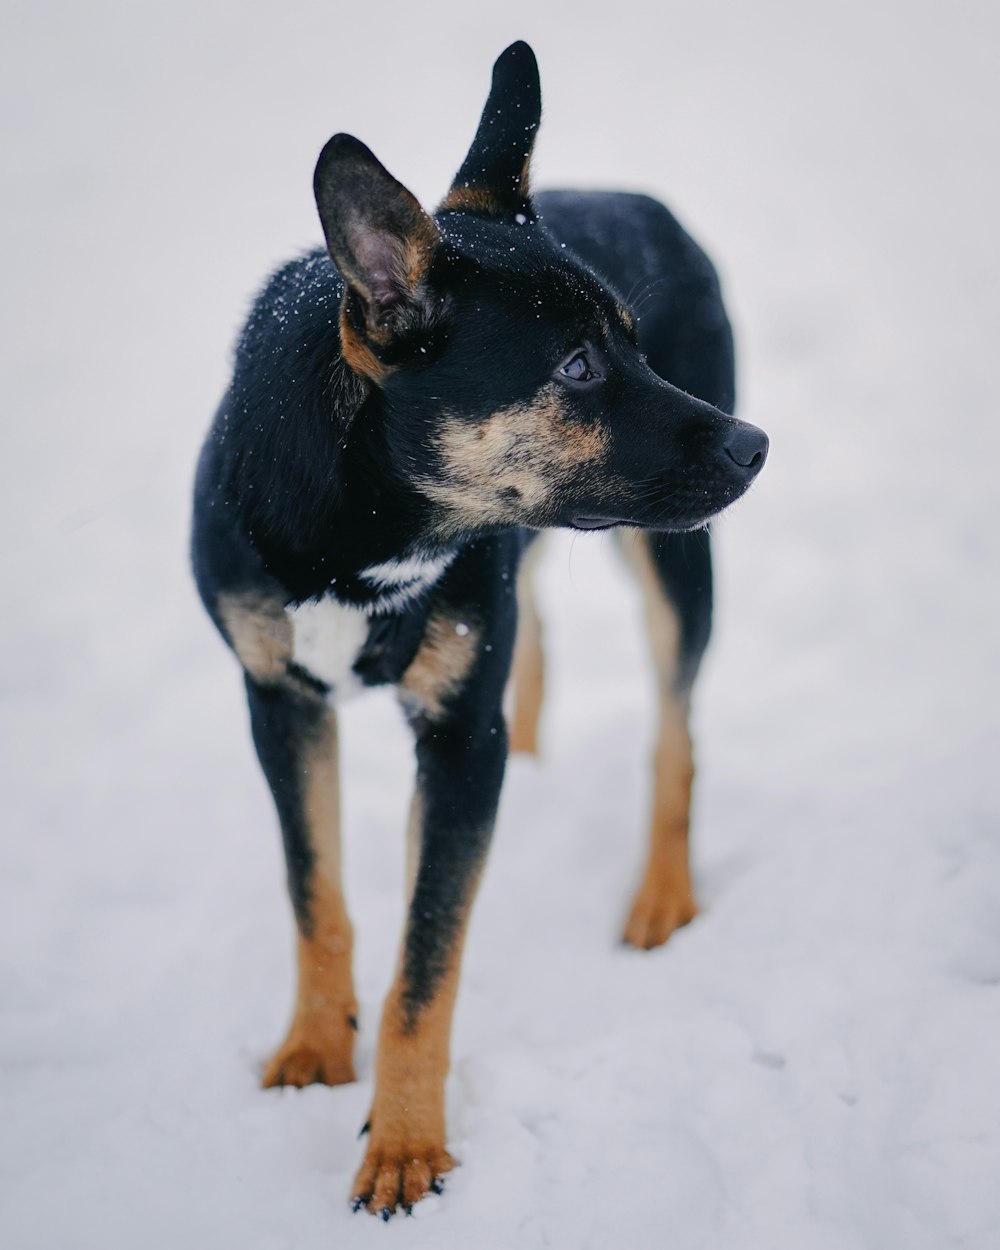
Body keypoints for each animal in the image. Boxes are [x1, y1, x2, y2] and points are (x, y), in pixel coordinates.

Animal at [190, 41, 765, 1220]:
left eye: (634, 344)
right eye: (577, 367)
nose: (756, 445)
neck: (360, 541)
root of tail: (638, 194)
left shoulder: (457, 744)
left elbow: (427, 965)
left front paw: (406, 1147)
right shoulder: (280, 704)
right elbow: (316, 895)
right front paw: (314, 1051)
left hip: (674, 565)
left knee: (675, 736)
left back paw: (662, 894)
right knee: (535, 632)